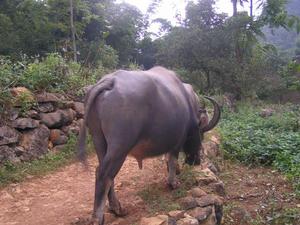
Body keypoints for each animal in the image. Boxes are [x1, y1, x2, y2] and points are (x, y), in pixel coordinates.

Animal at [77, 66, 220, 224]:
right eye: (201, 132)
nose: (195, 161)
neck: (186, 101)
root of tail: (110, 81)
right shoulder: (177, 141)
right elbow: (172, 159)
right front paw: (173, 182)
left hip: (99, 140)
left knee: (106, 173)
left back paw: (116, 207)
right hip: (119, 147)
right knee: (103, 174)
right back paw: (103, 215)